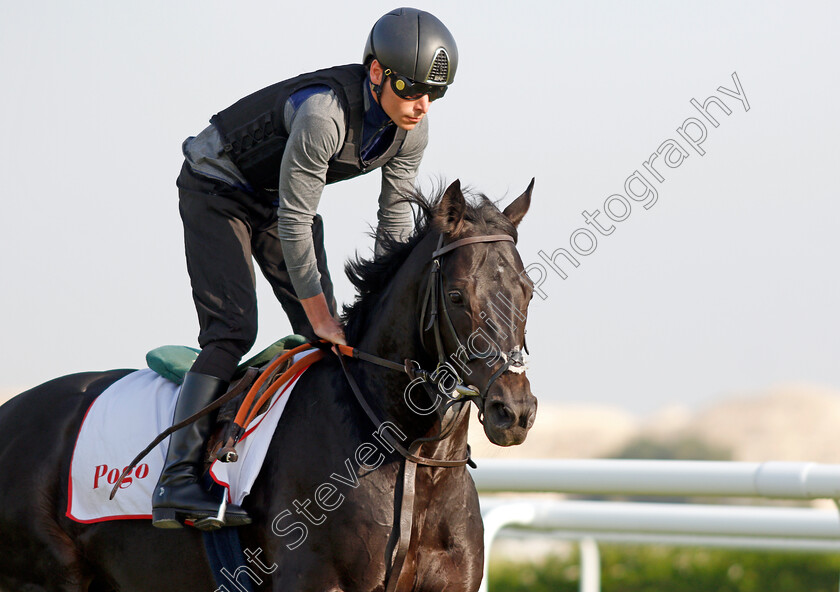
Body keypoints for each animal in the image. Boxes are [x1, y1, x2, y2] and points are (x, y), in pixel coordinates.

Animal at [0, 178, 540, 588]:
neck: (411, 457)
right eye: (457, 295)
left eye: (528, 290)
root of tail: (11, 413)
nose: (514, 410)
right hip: (45, 578)